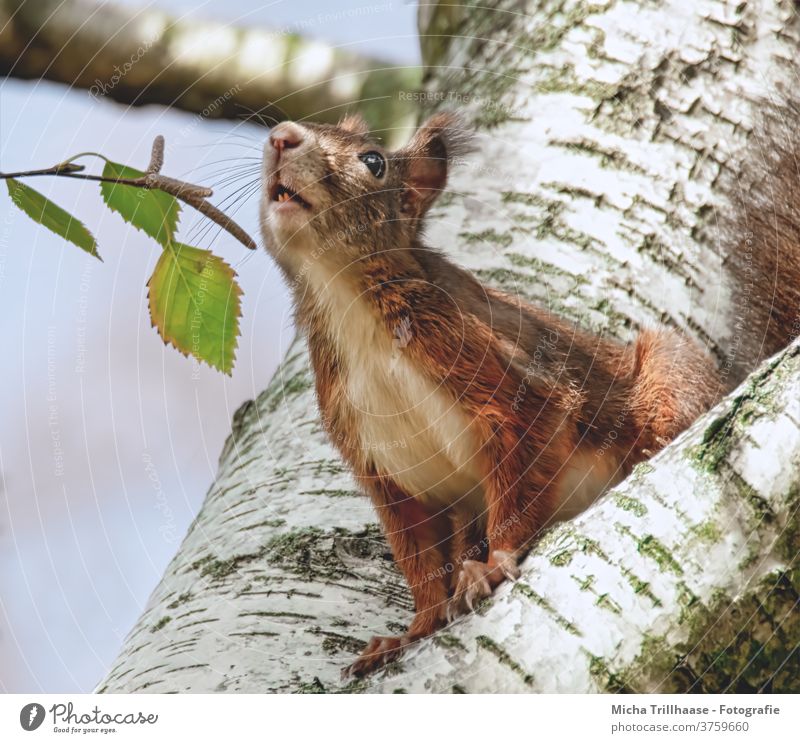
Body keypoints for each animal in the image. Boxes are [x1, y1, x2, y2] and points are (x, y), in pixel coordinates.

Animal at [260, 109, 800, 676]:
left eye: (373, 161)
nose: (282, 137)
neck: (345, 298)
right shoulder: (385, 470)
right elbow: (419, 559)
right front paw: (410, 633)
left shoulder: (493, 368)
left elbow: (526, 459)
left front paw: (493, 565)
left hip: (668, 376)